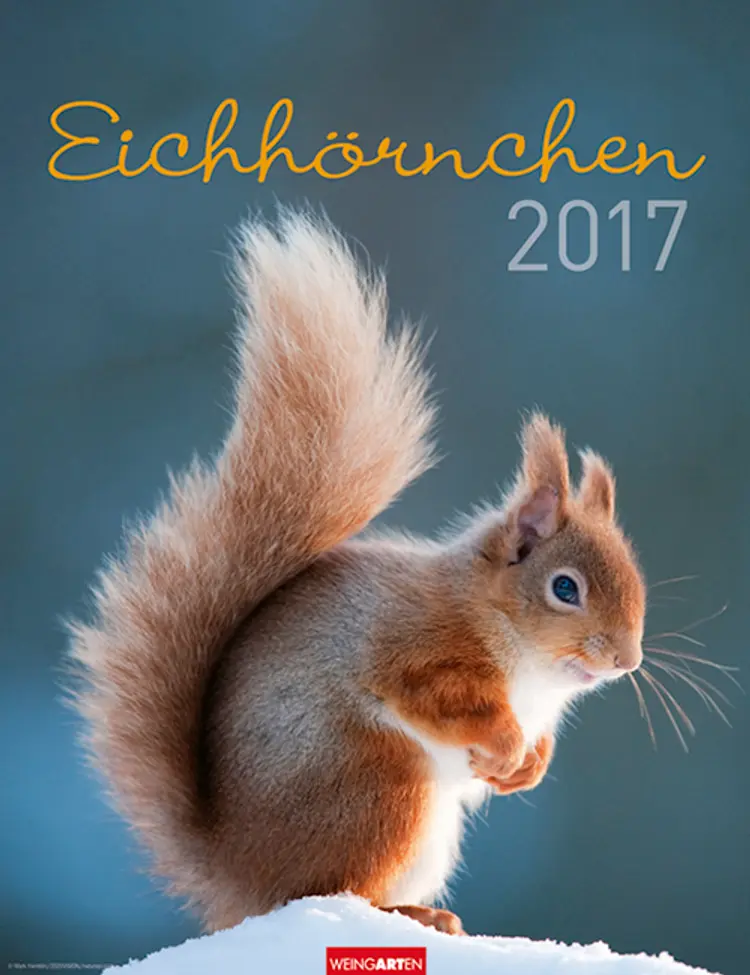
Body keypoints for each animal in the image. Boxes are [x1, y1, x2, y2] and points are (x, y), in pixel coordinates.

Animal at [68, 210, 646, 937]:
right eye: (564, 587)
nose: (627, 660)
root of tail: (238, 876)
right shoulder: (419, 650)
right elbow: (441, 699)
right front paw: (505, 744)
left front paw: (527, 769)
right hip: (382, 788)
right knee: (330, 889)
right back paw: (410, 912)